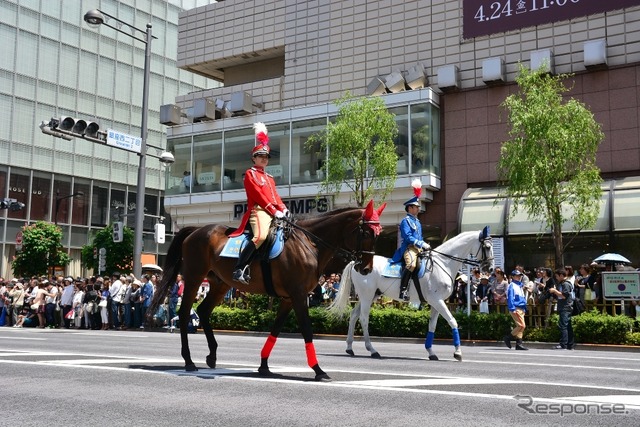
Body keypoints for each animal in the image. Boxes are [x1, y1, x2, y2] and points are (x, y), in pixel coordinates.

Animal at [149, 201, 384, 382]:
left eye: (378, 234)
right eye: (366, 232)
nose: (366, 269)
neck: (310, 243)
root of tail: (196, 230)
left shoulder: (289, 298)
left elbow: (276, 330)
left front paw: (263, 365)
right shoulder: (298, 295)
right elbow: (307, 330)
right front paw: (318, 370)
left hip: (220, 284)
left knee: (204, 311)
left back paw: (212, 356)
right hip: (194, 278)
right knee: (185, 312)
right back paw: (189, 361)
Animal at [328, 226, 492, 362]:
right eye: (487, 246)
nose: (490, 268)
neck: (443, 263)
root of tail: (357, 263)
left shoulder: (436, 302)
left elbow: (432, 326)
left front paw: (431, 352)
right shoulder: (437, 300)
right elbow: (452, 321)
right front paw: (458, 353)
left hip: (371, 295)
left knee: (354, 315)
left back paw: (350, 348)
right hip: (367, 295)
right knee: (363, 318)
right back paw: (372, 350)